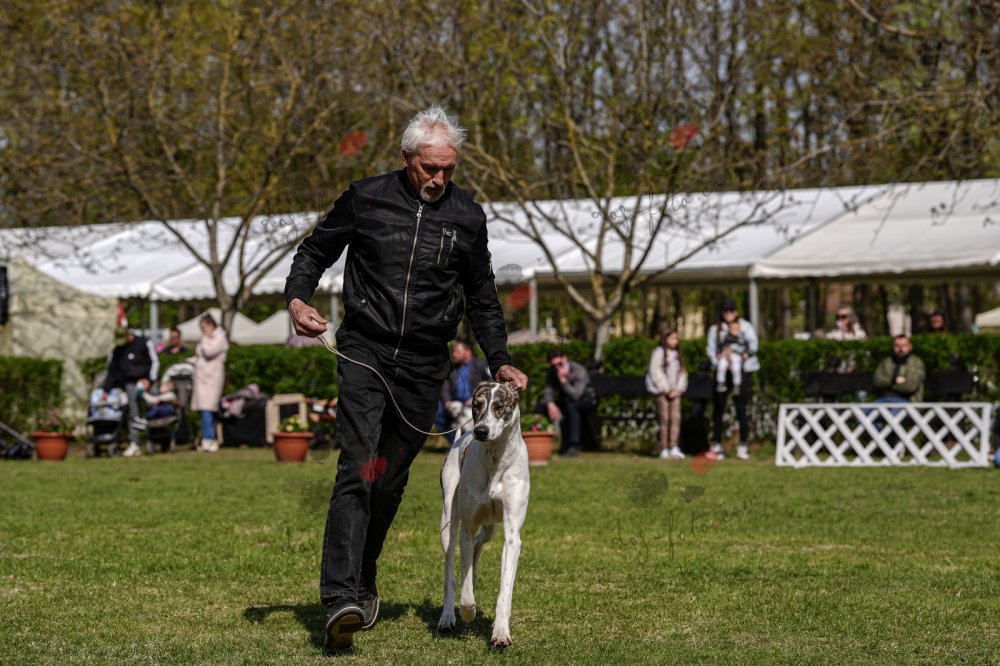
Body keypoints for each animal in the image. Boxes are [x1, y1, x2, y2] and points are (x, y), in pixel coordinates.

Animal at [438, 381, 529, 647]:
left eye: (500, 406)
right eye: (476, 405)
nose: (480, 431)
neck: (495, 459)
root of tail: (462, 435)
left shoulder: (512, 534)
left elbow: (505, 588)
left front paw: (501, 631)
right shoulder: (467, 528)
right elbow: (465, 590)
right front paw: (468, 612)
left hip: (492, 526)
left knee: (480, 543)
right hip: (448, 521)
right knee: (451, 570)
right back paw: (447, 616)